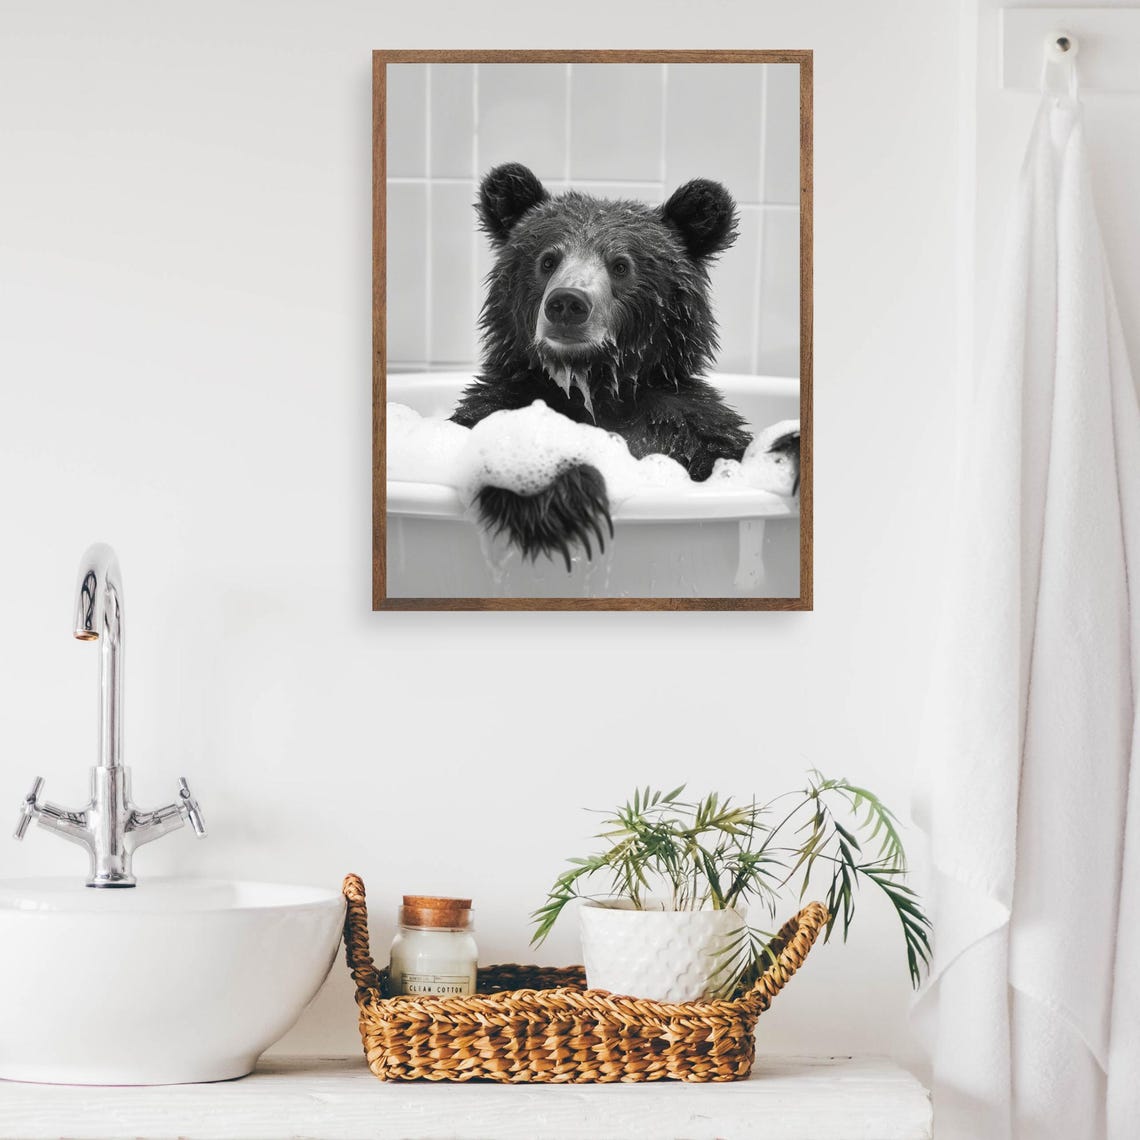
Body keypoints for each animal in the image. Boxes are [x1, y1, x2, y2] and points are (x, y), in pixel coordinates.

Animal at [451, 162, 796, 571]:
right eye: (547, 260)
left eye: (620, 265)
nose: (567, 303)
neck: (593, 384)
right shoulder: (501, 401)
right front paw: (559, 497)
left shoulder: (685, 423)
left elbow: (729, 452)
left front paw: (790, 449)